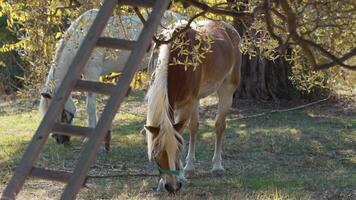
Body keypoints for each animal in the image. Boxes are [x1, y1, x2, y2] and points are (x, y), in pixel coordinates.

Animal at [145, 19, 242, 192]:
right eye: (156, 153)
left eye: (178, 151)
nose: (172, 187)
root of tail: (227, 28)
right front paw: (163, 182)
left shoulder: (186, 104)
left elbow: (180, 134)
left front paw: (180, 175)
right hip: (196, 99)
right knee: (194, 127)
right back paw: (190, 168)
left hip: (226, 89)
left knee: (219, 125)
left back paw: (217, 166)